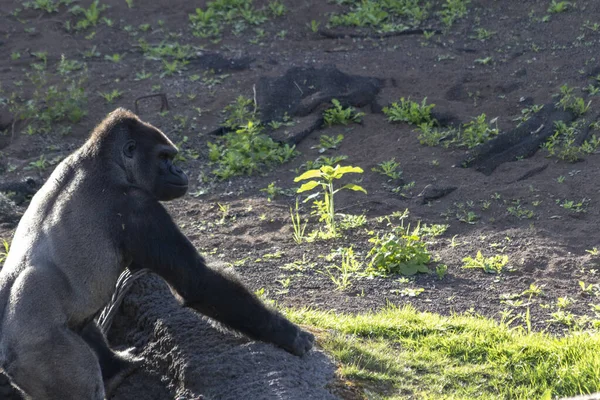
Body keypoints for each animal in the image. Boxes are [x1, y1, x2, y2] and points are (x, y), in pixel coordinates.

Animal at [0, 108, 314, 398]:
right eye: (164, 158)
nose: (180, 172)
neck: (103, 161)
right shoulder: (140, 207)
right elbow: (198, 282)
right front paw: (288, 335)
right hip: (38, 353)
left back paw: (118, 367)